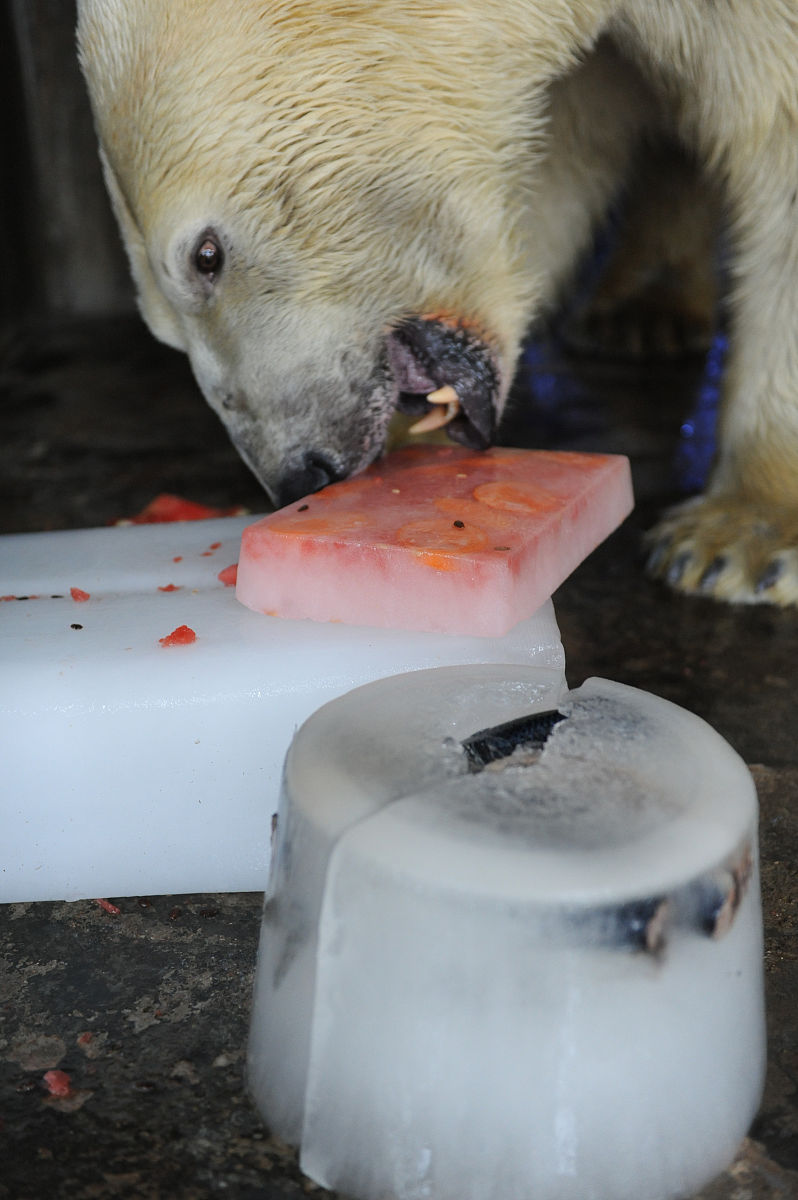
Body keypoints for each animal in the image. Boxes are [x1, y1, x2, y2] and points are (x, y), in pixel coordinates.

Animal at [76, 0, 798, 605]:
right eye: (164, 331)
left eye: (206, 256)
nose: (303, 475)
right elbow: (557, 163)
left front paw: (738, 538)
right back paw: (643, 310)